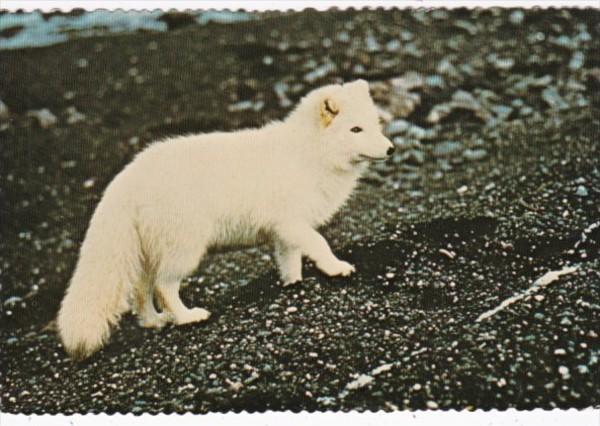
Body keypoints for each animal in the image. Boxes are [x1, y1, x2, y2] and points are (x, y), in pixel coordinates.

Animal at [56, 79, 394, 360]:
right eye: (355, 130)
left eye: (375, 125)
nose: (391, 149)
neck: (309, 155)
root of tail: (125, 178)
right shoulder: (291, 222)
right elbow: (320, 243)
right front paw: (336, 268)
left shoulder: (284, 231)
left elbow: (290, 259)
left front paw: (292, 284)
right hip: (184, 248)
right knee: (164, 286)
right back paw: (187, 317)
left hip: (153, 249)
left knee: (141, 289)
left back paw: (154, 322)